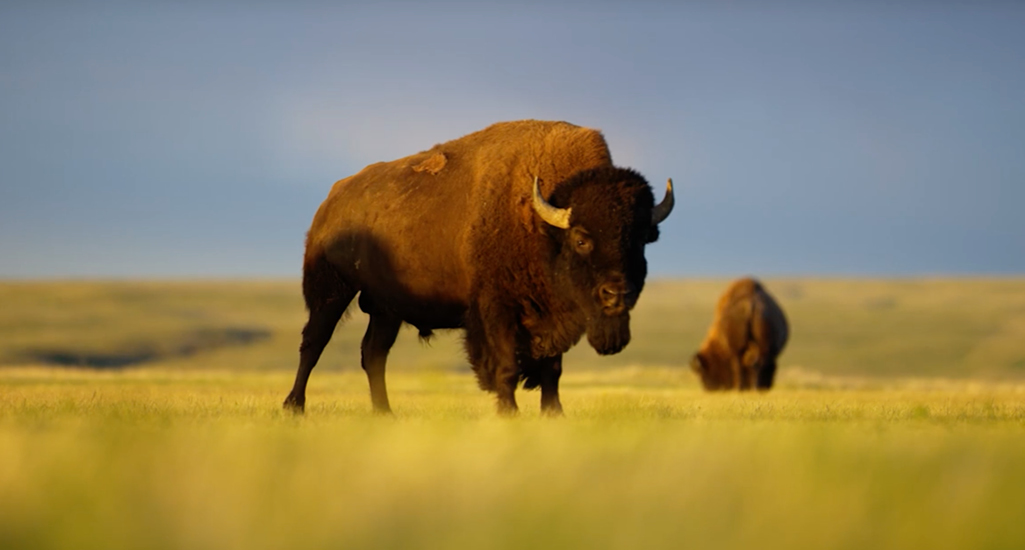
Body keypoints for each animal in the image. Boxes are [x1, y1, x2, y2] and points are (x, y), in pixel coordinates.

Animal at [284, 118, 676, 411]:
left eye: (642, 239)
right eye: (581, 238)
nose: (616, 294)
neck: (542, 225)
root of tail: (332, 200)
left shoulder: (551, 319)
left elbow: (552, 372)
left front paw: (554, 415)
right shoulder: (496, 311)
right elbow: (505, 368)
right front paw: (509, 414)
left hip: (385, 307)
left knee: (373, 354)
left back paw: (385, 413)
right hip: (331, 291)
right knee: (314, 343)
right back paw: (294, 407)